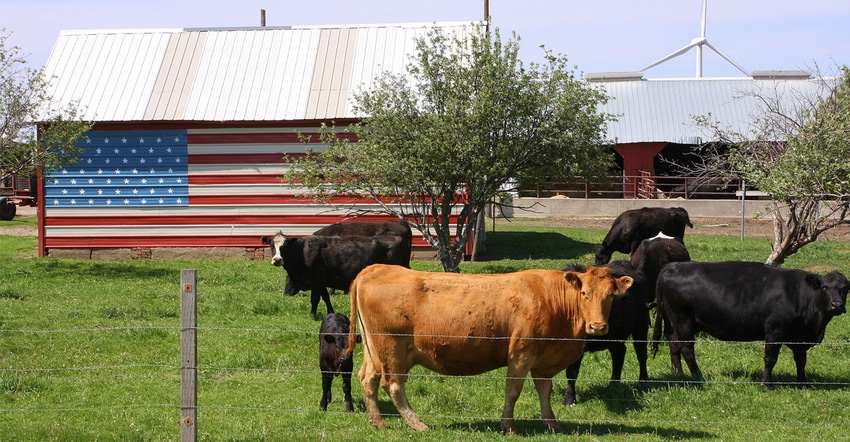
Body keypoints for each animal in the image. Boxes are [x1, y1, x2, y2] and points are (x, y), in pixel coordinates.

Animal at [258, 233, 404, 316]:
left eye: (285, 246)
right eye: (272, 246)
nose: (277, 259)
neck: (302, 252)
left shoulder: (316, 282)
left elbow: (314, 299)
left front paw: (312, 315)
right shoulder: (322, 283)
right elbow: (326, 298)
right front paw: (331, 312)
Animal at [342, 264, 628, 434]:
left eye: (611, 296)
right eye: (584, 294)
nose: (598, 326)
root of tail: (379, 268)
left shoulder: (543, 360)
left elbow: (544, 391)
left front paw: (552, 423)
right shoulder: (521, 352)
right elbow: (513, 390)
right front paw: (508, 426)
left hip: (374, 351)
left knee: (368, 379)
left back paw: (377, 422)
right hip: (392, 348)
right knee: (393, 385)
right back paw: (417, 423)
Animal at [564, 260, 648, 406]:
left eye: (610, 295)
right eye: (584, 293)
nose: (597, 326)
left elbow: (572, 372)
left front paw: (569, 399)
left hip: (641, 326)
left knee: (641, 353)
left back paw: (643, 381)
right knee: (619, 352)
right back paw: (613, 384)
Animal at [652, 260, 844, 388]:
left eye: (845, 288)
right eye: (824, 287)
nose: (837, 305)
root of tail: (674, 266)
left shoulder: (799, 338)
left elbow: (801, 360)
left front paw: (803, 383)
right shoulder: (774, 332)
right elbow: (770, 359)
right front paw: (766, 384)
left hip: (680, 322)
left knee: (674, 343)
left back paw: (678, 373)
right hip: (683, 320)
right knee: (686, 348)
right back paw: (697, 375)